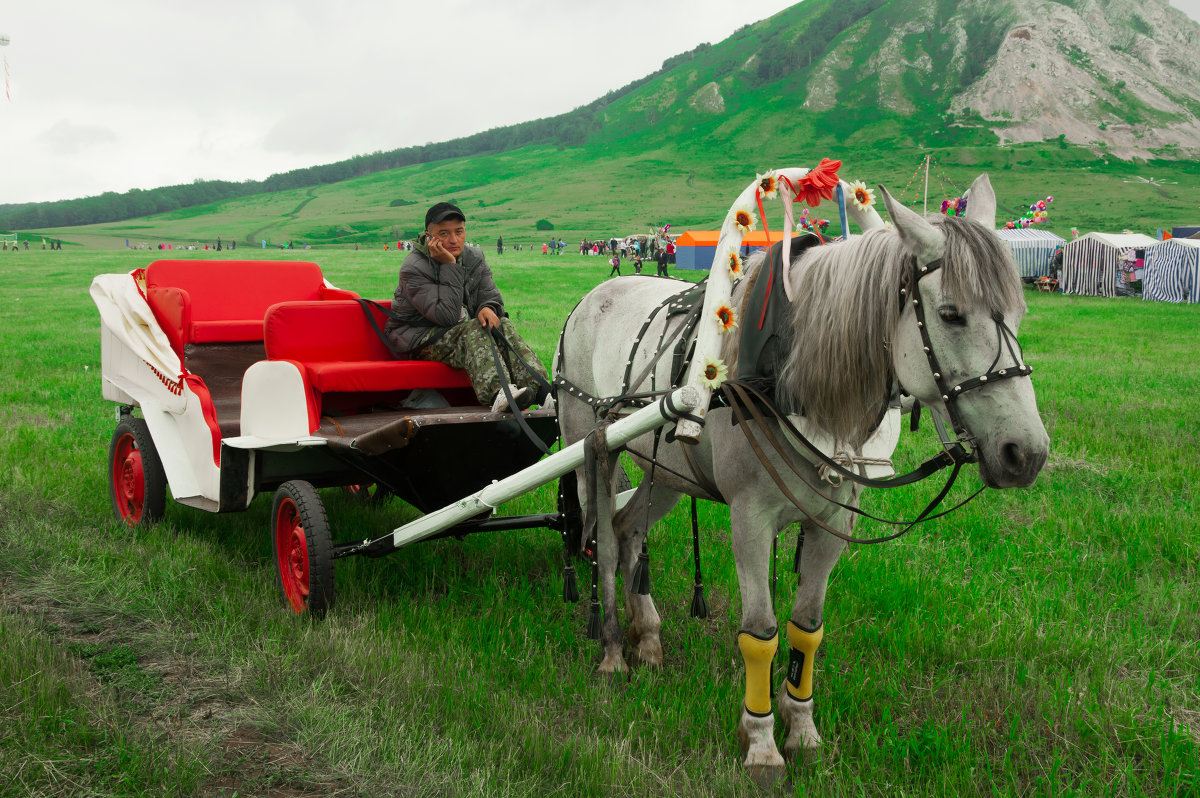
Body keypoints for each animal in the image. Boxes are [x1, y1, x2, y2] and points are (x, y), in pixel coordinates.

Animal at [556, 174, 1046, 777]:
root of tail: (592, 298)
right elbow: (761, 634)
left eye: (1019, 314)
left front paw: (803, 729)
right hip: (592, 451)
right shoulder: (750, 520)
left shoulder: (832, 523)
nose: (1027, 452)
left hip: (665, 474)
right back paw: (610, 650)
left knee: (628, 533)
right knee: (601, 539)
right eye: (952, 314)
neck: (786, 373)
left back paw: (646, 638)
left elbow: (806, 629)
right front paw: (762, 742)